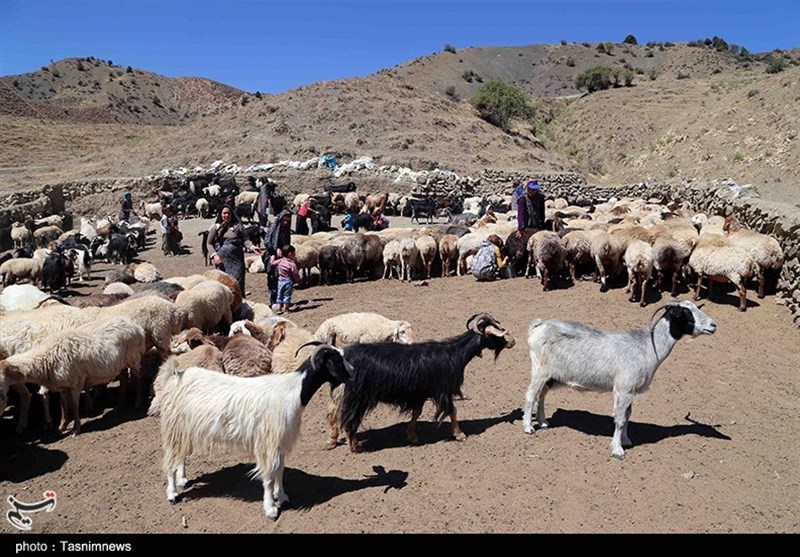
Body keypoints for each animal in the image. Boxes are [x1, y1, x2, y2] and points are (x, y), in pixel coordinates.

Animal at [152, 340, 352, 520]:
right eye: (336, 359)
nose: (352, 374)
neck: (293, 391)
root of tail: (176, 376)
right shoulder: (268, 442)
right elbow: (269, 477)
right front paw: (270, 509)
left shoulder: (280, 441)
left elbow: (280, 470)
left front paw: (282, 496)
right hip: (173, 426)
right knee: (170, 459)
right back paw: (172, 494)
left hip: (184, 429)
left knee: (180, 455)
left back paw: (182, 479)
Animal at [328, 312, 516, 452]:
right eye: (497, 332)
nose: (513, 341)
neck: (454, 354)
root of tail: (344, 355)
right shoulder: (443, 390)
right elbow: (452, 411)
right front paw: (459, 435)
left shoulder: (420, 391)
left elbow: (417, 412)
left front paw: (412, 435)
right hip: (357, 396)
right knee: (348, 417)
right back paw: (354, 446)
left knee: (334, 412)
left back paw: (334, 440)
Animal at [524, 302, 720, 458]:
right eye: (686, 313)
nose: (713, 325)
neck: (647, 348)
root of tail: (538, 325)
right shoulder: (623, 388)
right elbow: (619, 418)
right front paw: (617, 450)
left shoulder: (631, 391)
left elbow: (627, 415)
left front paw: (626, 440)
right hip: (539, 370)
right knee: (530, 395)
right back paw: (528, 427)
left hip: (552, 376)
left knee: (541, 395)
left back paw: (543, 422)